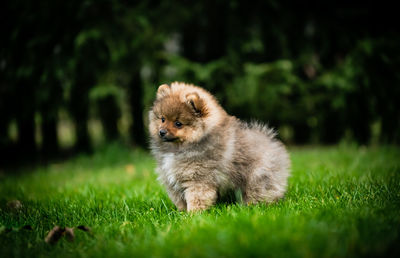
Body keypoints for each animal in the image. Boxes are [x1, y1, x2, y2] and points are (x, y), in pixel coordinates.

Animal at [148, 81, 290, 211]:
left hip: (258, 177)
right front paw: (182, 213)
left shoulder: (198, 180)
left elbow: (196, 198)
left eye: (178, 123)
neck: (177, 148)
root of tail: (272, 142)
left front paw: (193, 215)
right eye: (162, 119)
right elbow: (179, 199)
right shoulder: (172, 180)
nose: (161, 132)